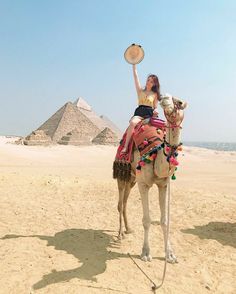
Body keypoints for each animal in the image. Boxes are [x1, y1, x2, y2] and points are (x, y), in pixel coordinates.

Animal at [115, 94, 187, 264]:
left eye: (180, 102)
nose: (165, 98)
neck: (156, 153)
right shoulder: (143, 184)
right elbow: (147, 220)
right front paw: (146, 253)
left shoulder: (164, 184)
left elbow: (164, 220)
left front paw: (170, 255)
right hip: (123, 175)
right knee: (120, 203)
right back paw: (120, 234)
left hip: (132, 179)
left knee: (125, 201)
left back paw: (128, 229)